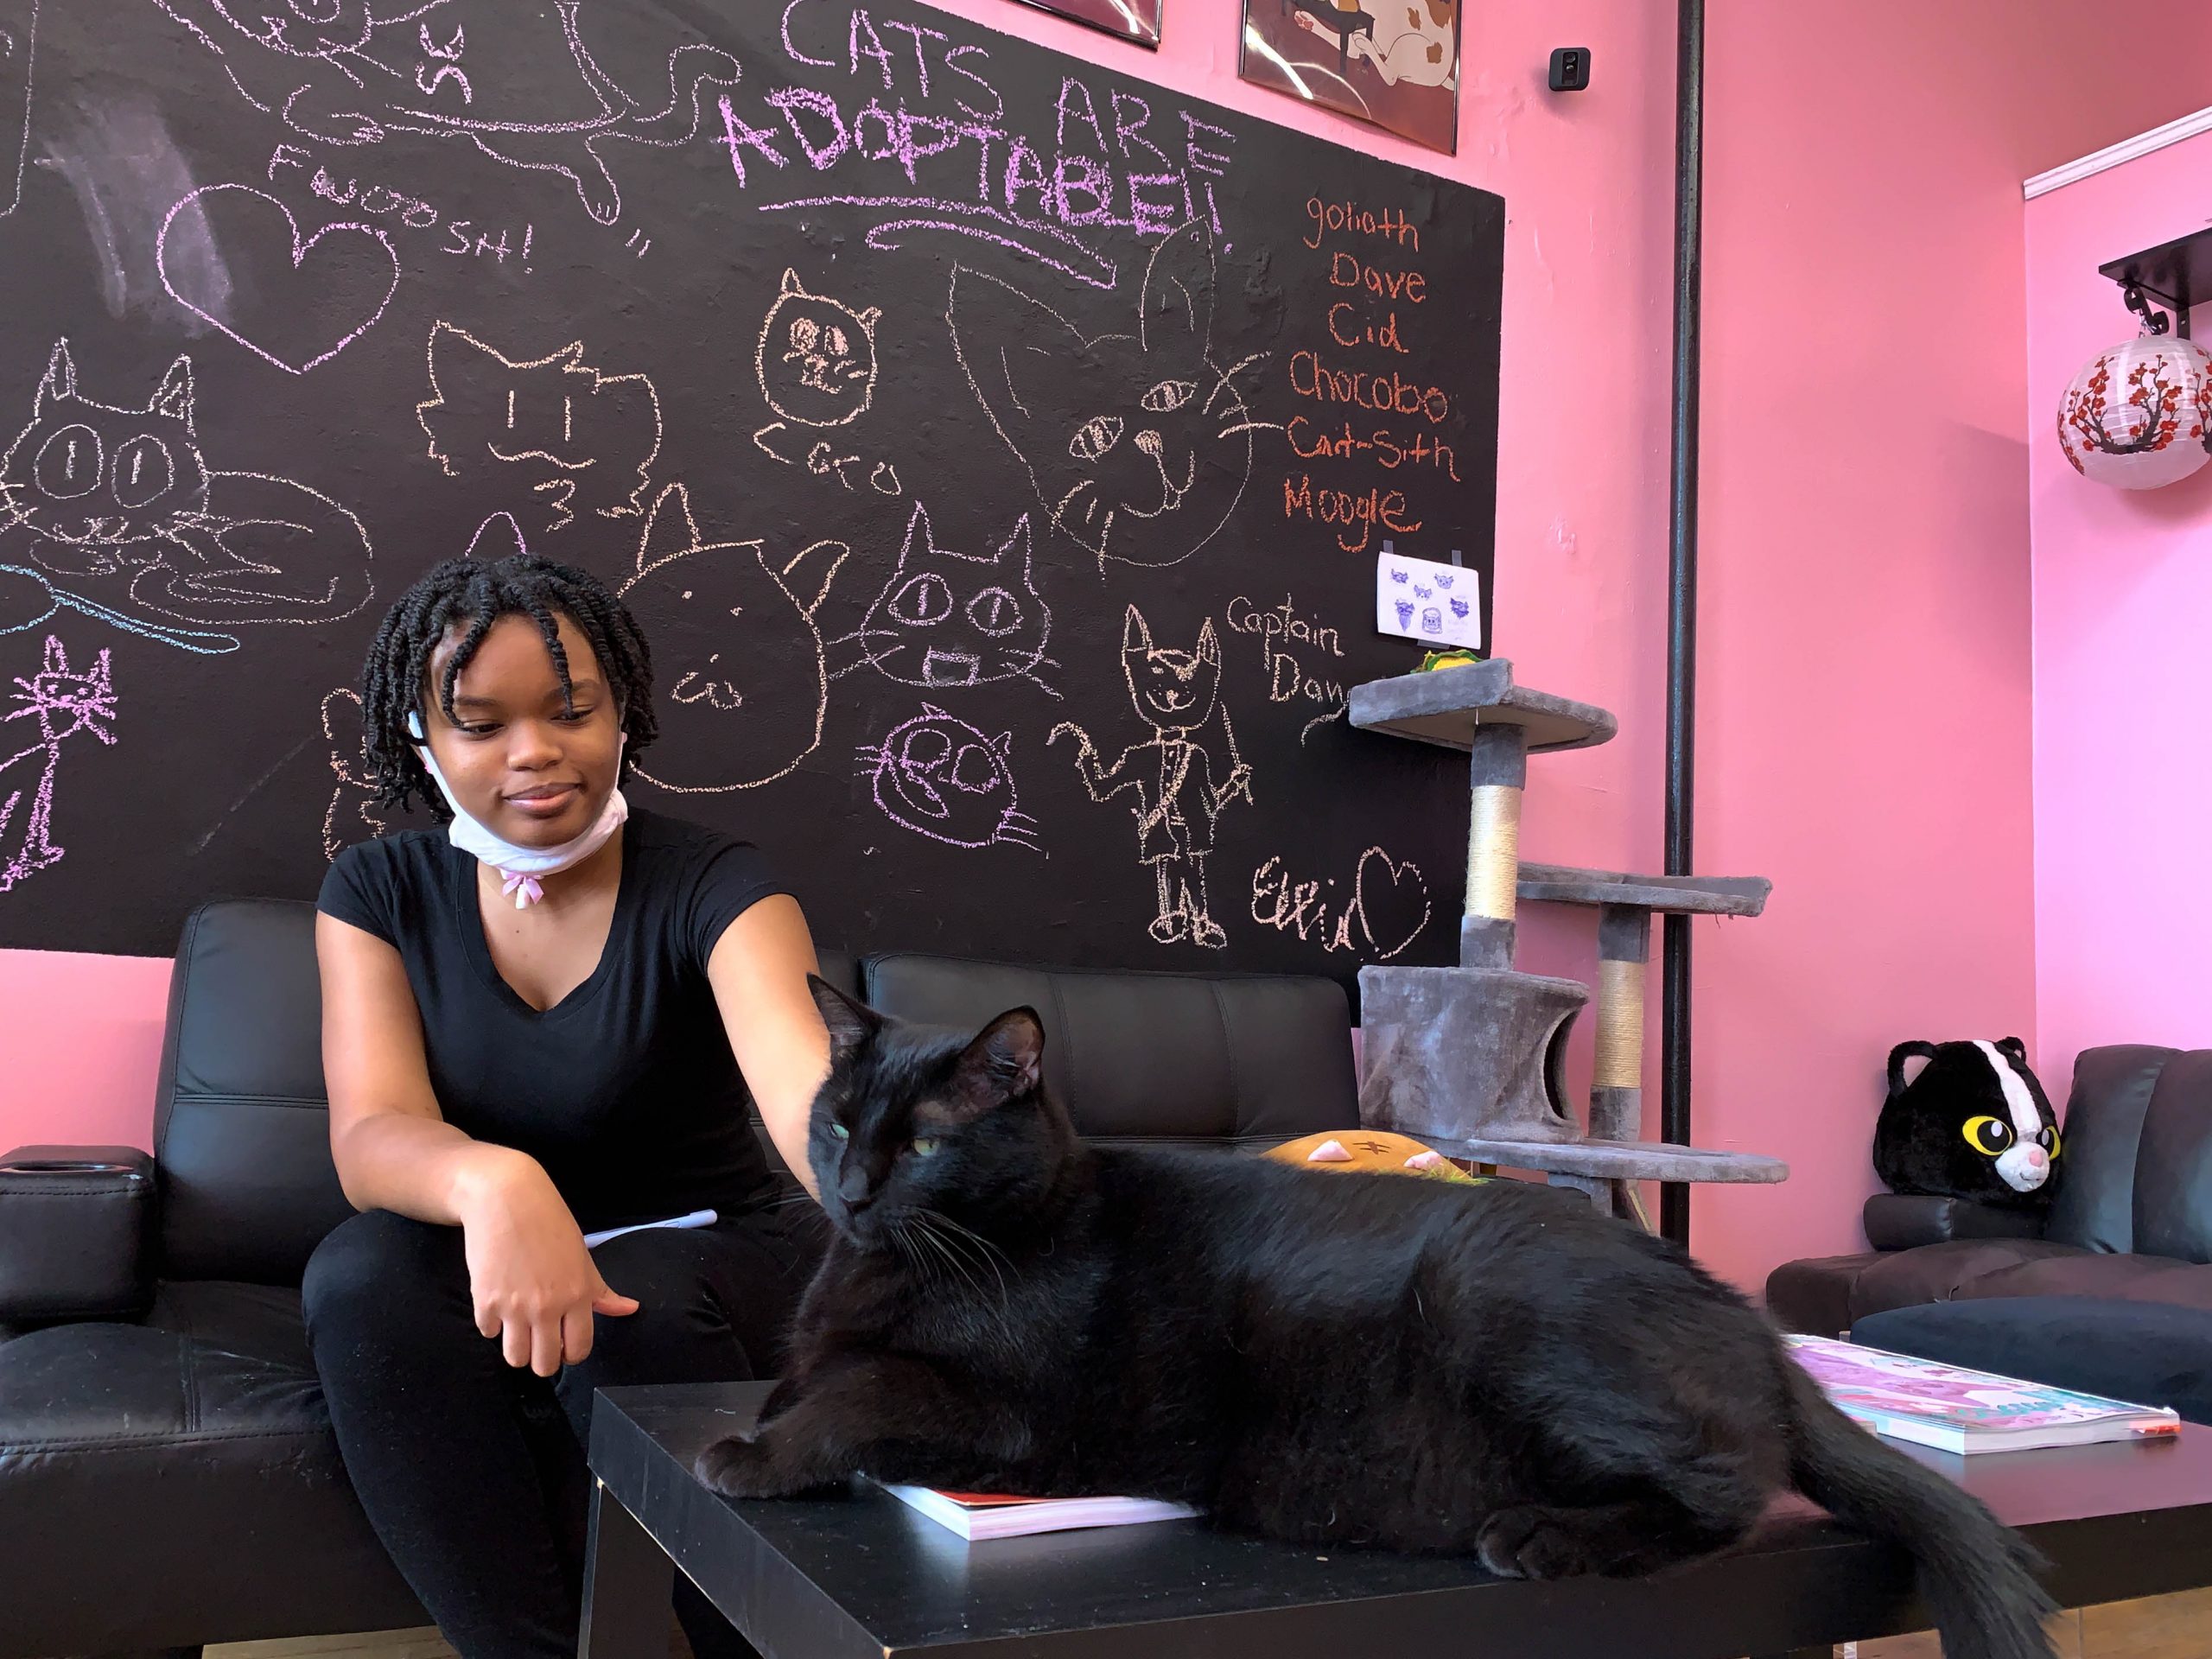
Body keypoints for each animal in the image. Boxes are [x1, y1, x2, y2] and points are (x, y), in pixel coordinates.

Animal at [703, 986, 2052, 1659]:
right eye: (836, 1120)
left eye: (929, 1145)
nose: (852, 1190)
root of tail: (1751, 1325)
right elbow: (804, 1373)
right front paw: (766, 1409)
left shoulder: (1006, 1412)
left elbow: (855, 1392)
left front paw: (752, 1457)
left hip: (1506, 1310)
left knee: (1729, 1491)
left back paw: (1540, 1537)